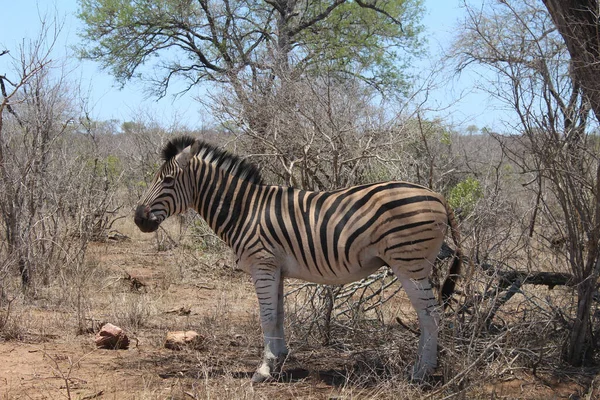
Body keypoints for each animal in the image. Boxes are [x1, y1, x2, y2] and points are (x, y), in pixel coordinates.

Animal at [136, 136, 462, 382]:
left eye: (167, 180)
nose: (138, 218)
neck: (245, 210)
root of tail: (438, 195)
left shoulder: (262, 264)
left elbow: (266, 317)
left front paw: (263, 370)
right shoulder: (276, 269)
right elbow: (278, 315)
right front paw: (279, 360)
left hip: (409, 263)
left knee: (431, 315)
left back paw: (420, 373)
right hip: (417, 264)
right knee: (431, 315)